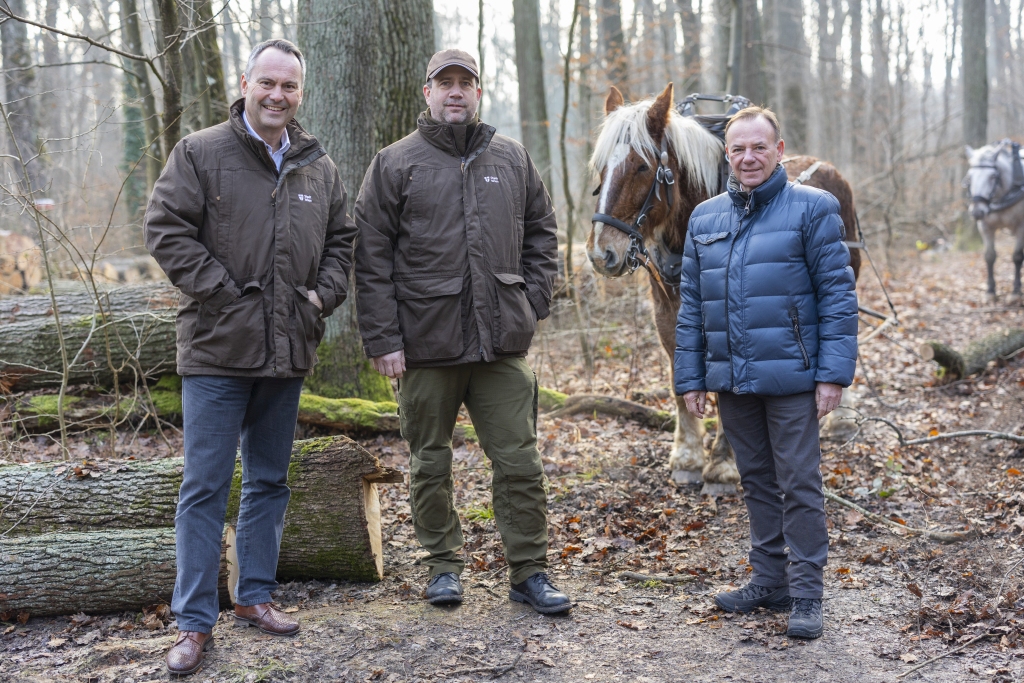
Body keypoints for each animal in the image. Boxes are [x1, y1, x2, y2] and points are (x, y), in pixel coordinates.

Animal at [966, 141, 1024, 305]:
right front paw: (990, 291)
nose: (977, 211)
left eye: (993, 176)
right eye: (969, 177)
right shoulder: (985, 227)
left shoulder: (1021, 227)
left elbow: (1017, 256)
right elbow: (990, 256)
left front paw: (1015, 292)